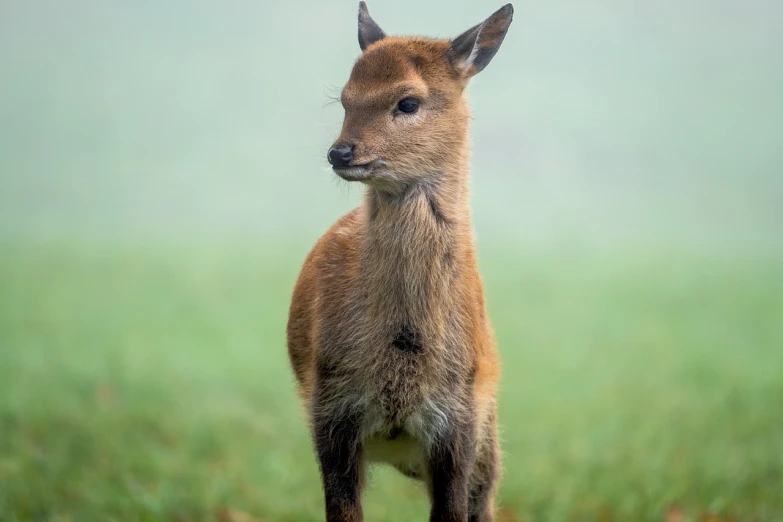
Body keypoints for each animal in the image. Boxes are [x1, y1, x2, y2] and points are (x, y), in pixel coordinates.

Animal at [288, 4, 516, 520]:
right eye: (344, 99)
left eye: (408, 102)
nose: (340, 152)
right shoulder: (330, 408)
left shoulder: (459, 417)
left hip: (490, 437)